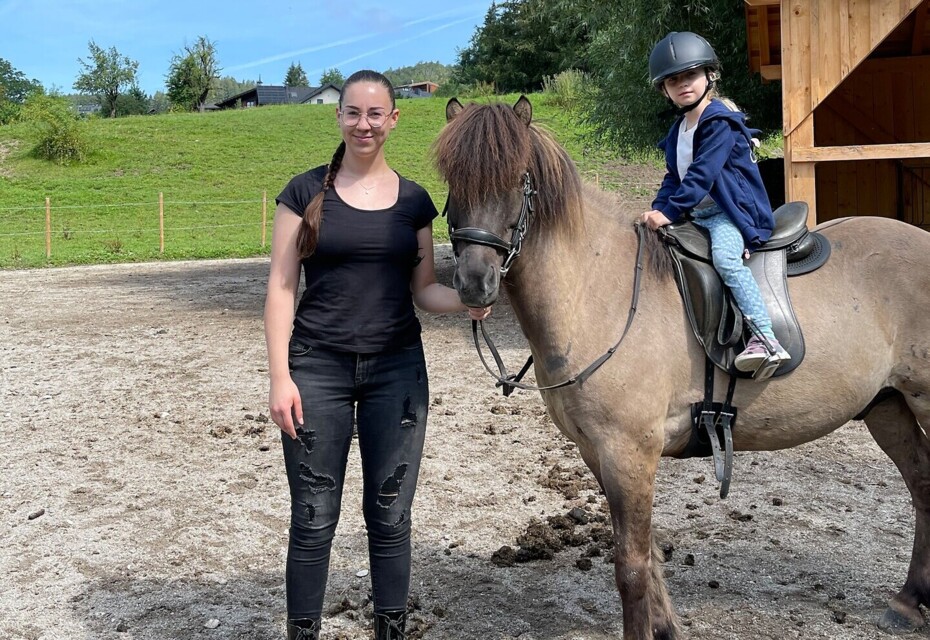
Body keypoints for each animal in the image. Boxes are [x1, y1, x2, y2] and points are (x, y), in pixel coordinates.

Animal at [434, 96, 928, 640]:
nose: (473, 284)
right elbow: (647, 554)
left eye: (518, 179)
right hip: (888, 405)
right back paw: (907, 601)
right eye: (452, 179)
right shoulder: (599, 452)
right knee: (923, 485)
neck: (597, 291)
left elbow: (630, 567)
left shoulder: (630, 451)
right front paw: (666, 626)